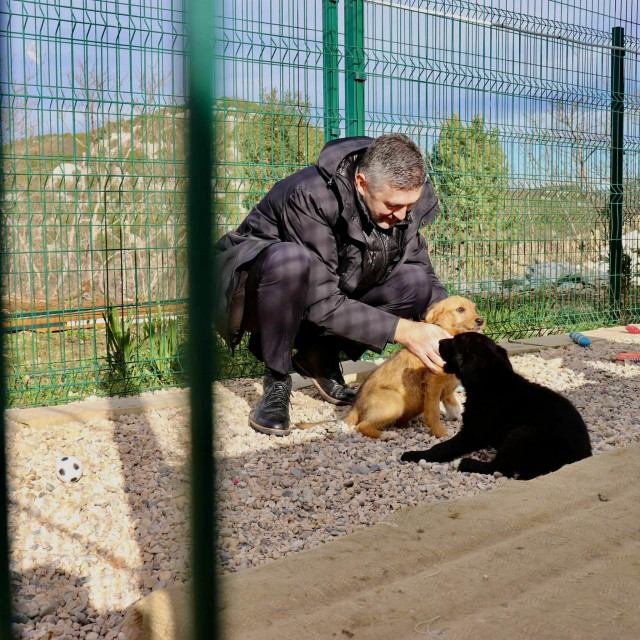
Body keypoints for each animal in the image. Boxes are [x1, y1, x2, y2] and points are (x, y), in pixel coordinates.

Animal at [348, 296, 482, 440]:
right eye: (460, 309)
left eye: (474, 308)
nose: (481, 321)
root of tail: (355, 405)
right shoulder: (433, 384)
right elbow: (433, 411)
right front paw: (441, 432)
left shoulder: (447, 384)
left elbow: (452, 401)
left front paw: (458, 417)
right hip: (395, 401)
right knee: (361, 426)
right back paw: (387, 435)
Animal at [402, 332, 592, 478]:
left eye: (454, 342)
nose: (439, 341)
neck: (492, 381)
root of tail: (581, 457)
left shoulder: (473, 432)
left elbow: (442, 446)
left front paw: (417, 455)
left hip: (519, 434)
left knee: (498, 467)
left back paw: (464, 463)